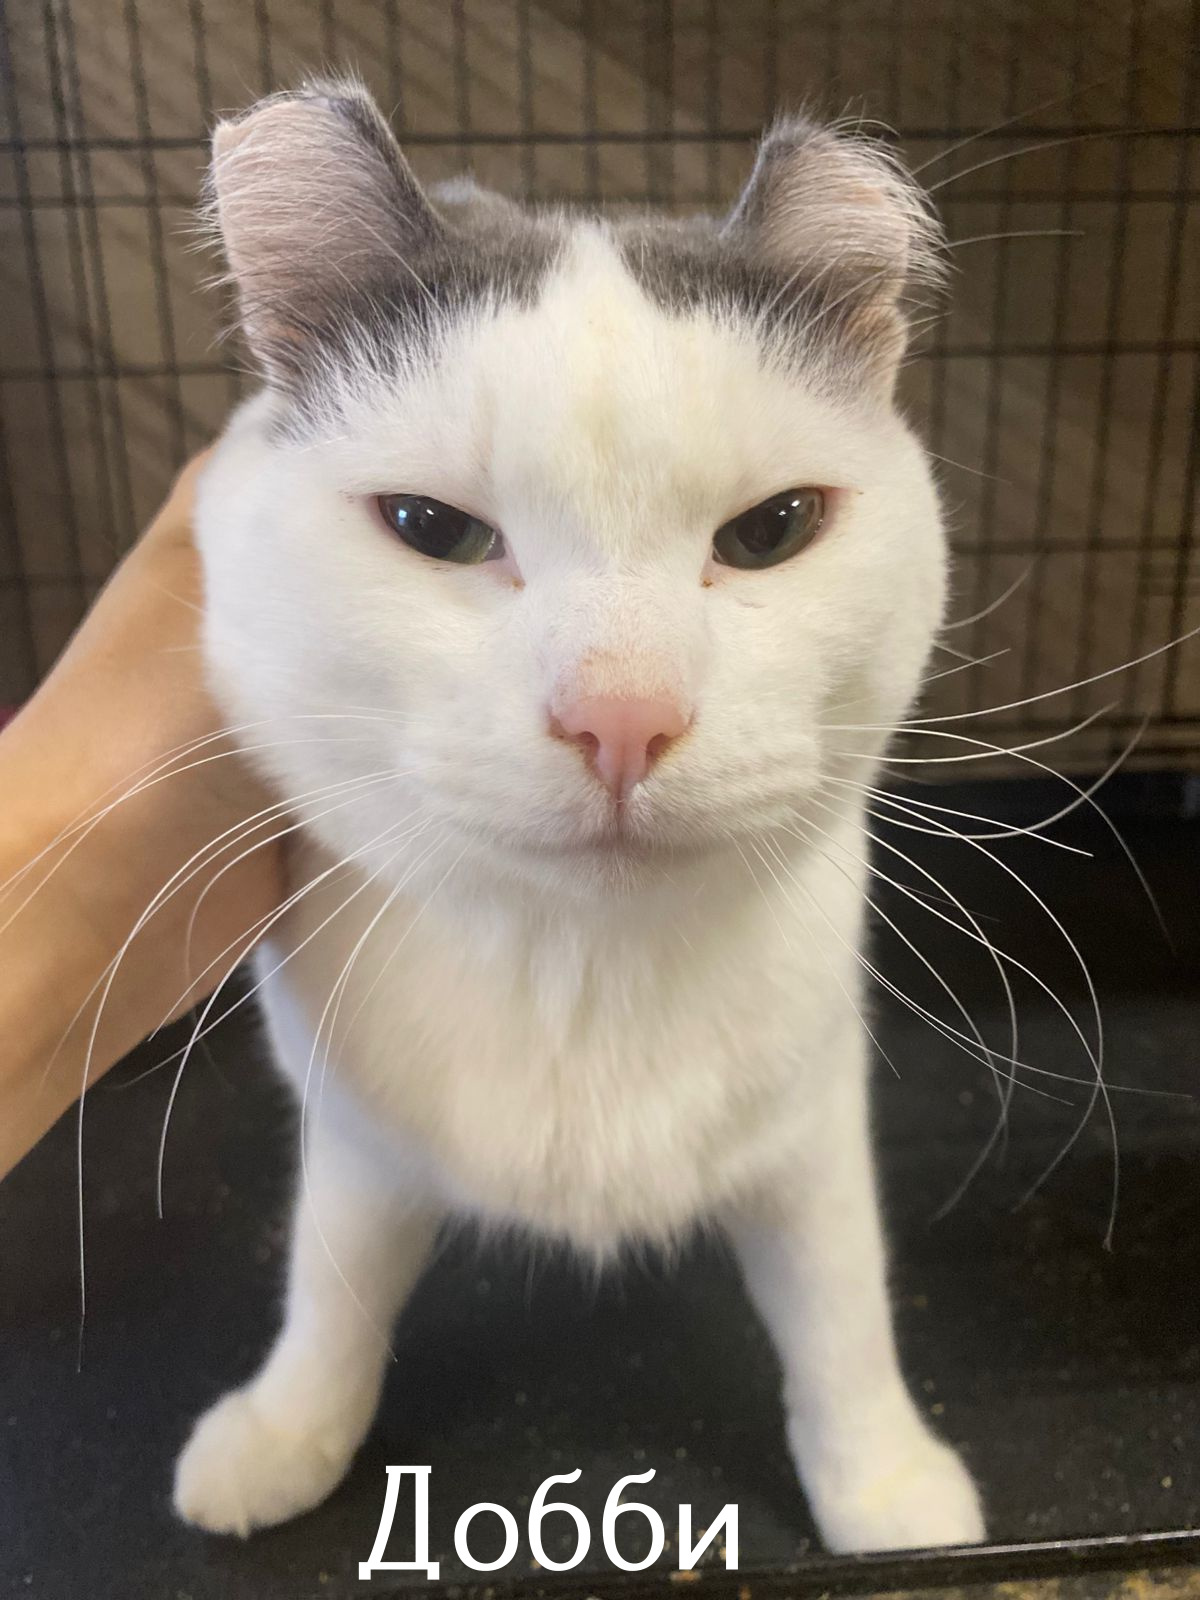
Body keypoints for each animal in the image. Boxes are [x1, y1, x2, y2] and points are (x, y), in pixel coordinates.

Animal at [173, 78, 986, 1556]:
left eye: (773, 530)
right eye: (431, 526)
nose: (623, 714)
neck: (579, 970)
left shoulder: (812, 1125)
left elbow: (841, 1311)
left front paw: (886, 1483)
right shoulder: (357, 1140)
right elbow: (333, 1286)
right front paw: (285, 1431)